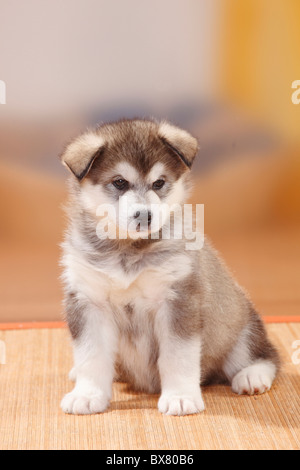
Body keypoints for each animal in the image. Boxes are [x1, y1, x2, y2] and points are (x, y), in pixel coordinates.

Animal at [59, 119, 280, 416]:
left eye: (159, 183)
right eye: (119, 182)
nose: (144, 215)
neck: (129, 250)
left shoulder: (178, 300)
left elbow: (177, 356)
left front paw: (180, 397)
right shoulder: (88, 300)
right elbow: (91, 356)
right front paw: (87, 394)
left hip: (240, 327)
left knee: (265, 356)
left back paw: (251, 376)